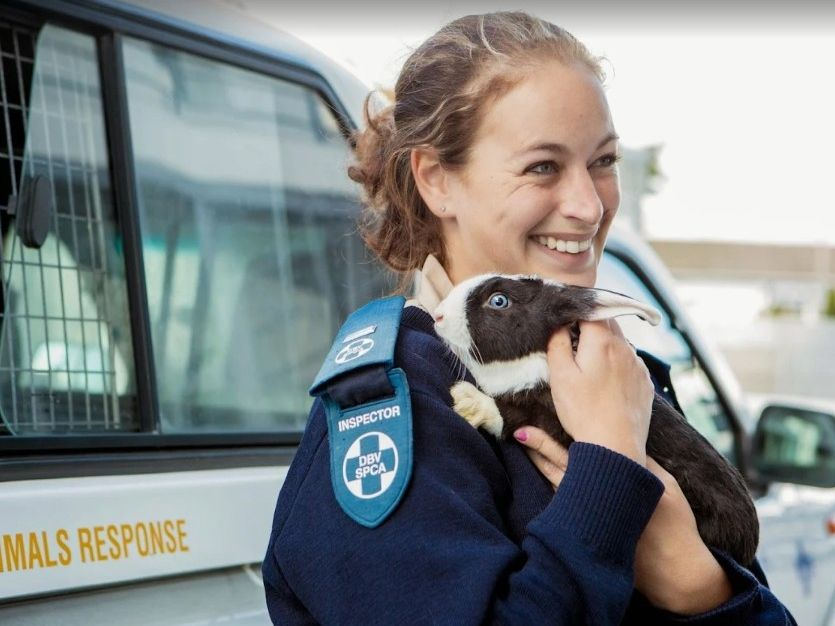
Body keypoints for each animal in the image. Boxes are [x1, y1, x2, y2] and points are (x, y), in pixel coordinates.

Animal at [432, 273, 759, 567]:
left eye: (499, 301)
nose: (438, 315)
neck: (530, 359)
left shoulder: (549, 416)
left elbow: (509, 416)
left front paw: (467, 400)